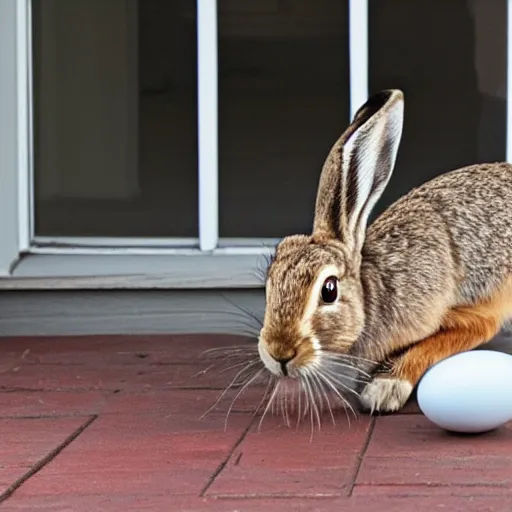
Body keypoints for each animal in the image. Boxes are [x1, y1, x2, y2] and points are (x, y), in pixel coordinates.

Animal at [258, 90, 512, 414]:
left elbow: (454, 337)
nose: (278, 354)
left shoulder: (467, 309)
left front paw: (385, 387)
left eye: (329, 290)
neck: (368, 297)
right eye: (270, 282)